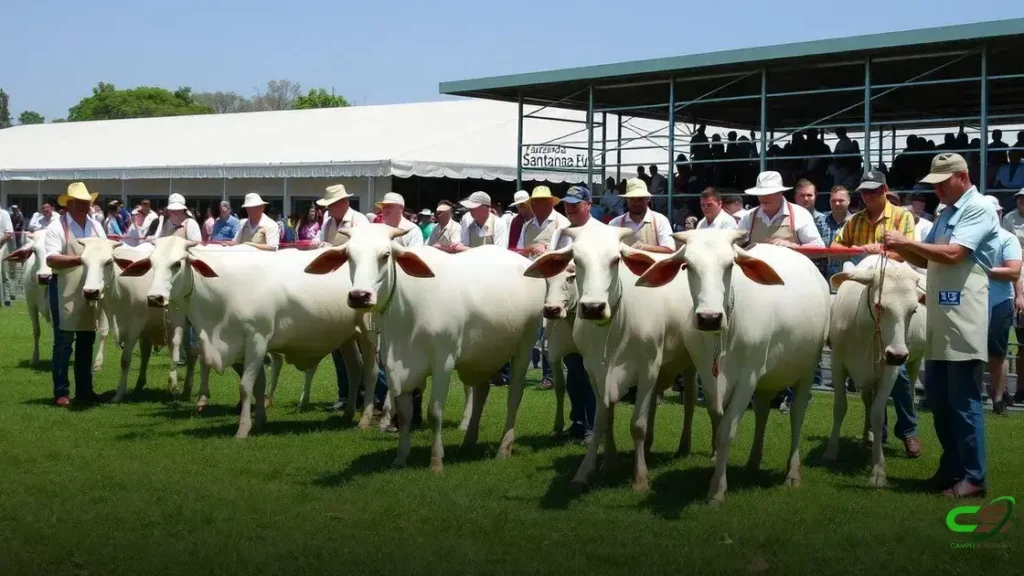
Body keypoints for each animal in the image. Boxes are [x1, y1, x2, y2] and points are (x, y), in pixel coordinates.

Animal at [121, 236, 380, 438]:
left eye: (177, 264)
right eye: (152, 264)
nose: (154, 298)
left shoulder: (257, 339)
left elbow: (246, 386)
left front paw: (243, 429)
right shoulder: (244, 346)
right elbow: (258, 385)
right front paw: (260, 421)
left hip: (368, 334)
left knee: (371, 372)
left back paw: (364, 419)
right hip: (346, 337)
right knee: (354, 369)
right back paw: (347, 415)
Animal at [304, 225, 544, 473]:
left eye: (385, 255)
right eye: (349, 256)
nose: (359, 296)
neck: (407, 313)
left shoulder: (443, 362)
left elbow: (434, 413)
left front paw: (436, 462)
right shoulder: (395, 365)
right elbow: (405, 413)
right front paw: (400, 458)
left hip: (525, 346)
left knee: (514, 395)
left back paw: (504, 448)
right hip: (481, 356)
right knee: (481, 392)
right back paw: (468, 440)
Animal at [524, 224, 699, 491]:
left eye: (616, 259)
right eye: (577, 261)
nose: (593, 307)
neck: (614, 327)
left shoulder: (648, 369)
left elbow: (637, 425)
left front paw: (640, 478)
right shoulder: (595, 370)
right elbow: (603, 418)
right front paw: (597, 467)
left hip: (690, 364)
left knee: (690, 403)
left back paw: (688, 448)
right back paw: (648, 448)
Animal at [636, 229, 830, 504]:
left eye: (730, 265)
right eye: (687, 266)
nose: (709, 318)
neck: (723, 337)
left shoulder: (748, 377)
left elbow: (728, 428)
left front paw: (717, 490)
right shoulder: (708, 376)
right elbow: (717, 421)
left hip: (806, 370)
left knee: (797, 415)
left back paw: (792, 473)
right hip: (765, 380)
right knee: (762, 411)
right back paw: (753, 463)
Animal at [823, 255, 927, 487]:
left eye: (913, 310)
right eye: (879, 306)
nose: (897, 355)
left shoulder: (890, 371)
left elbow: (878, 414)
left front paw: (878, 469)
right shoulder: (837, 363)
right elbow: (839, 407)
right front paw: (831, 451)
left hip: (914, 361)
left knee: (908, 393)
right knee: (867, 402)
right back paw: (865, 437)